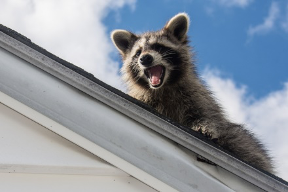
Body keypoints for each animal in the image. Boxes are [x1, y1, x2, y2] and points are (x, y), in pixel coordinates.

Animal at [111, 13, 274, 172]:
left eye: (158, 46)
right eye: (138, 52)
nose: (145, 58)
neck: (164, 87)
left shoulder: (197, 96)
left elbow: (206, 116)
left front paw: (203, 126)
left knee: (242, 140)